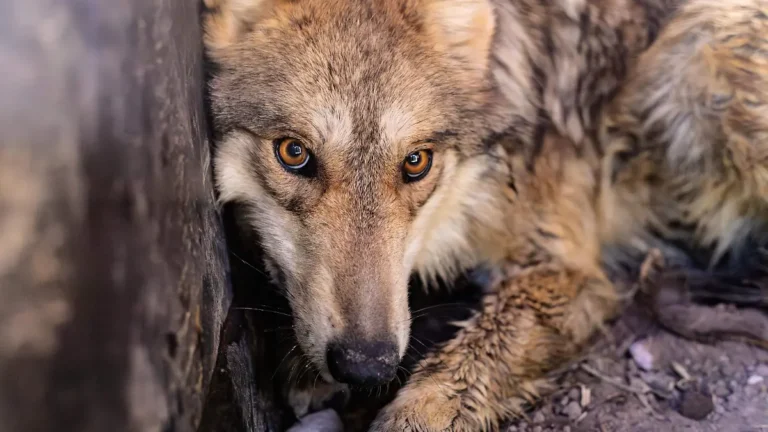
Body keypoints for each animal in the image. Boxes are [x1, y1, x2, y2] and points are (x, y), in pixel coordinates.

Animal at [203, 0, 768, 429]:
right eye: (294, 153)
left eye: (416, 162)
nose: (367, 366)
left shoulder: (568, 272)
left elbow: (465, 363)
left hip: (700, 46)